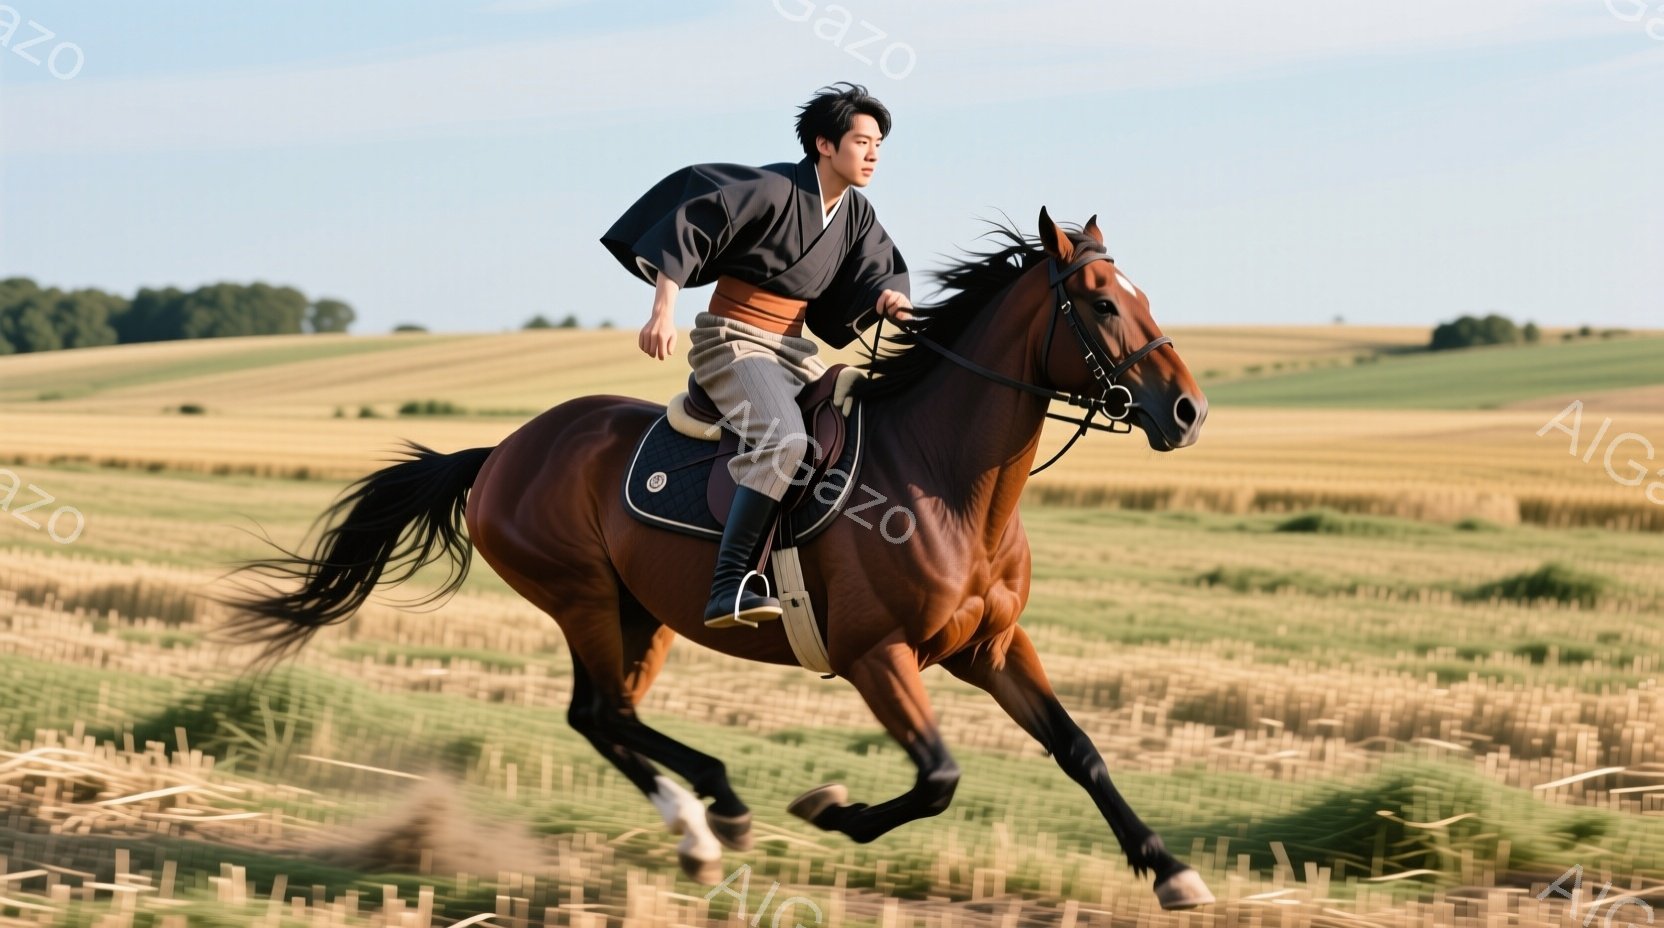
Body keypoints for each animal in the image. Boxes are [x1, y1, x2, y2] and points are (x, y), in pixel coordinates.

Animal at [218, 207, 1214, 909]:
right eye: (1100, 303)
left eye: (1144, 294)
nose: (1188, 412)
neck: (943, 479)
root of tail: (501, 450)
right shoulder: (876, 657)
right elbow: (937, 778)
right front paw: (831, 810)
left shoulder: (994, 648)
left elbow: (1080, 750)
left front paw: (1169, 868)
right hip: (583, 598)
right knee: (606, 711)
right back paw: (719, 809)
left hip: (642, 613)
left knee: (600, 716)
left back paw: (696, 831)